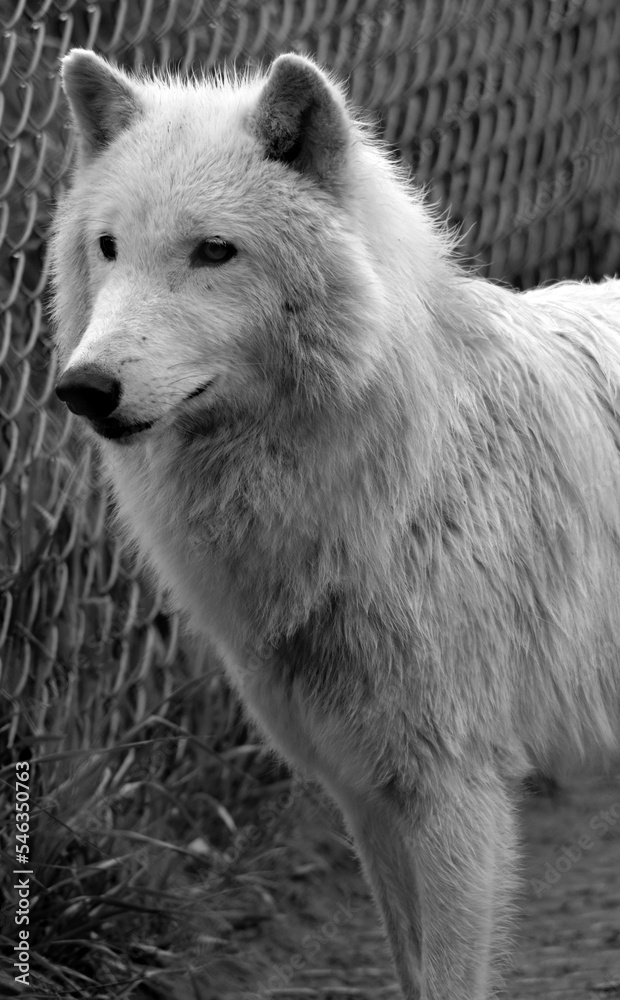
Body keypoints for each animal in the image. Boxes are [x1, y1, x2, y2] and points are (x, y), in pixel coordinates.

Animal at [51, 48, 620, 999]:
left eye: (213, 251)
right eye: (109, 246)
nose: (83, 388)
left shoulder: (454, 792)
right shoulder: (364, 791)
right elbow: (412, 970)